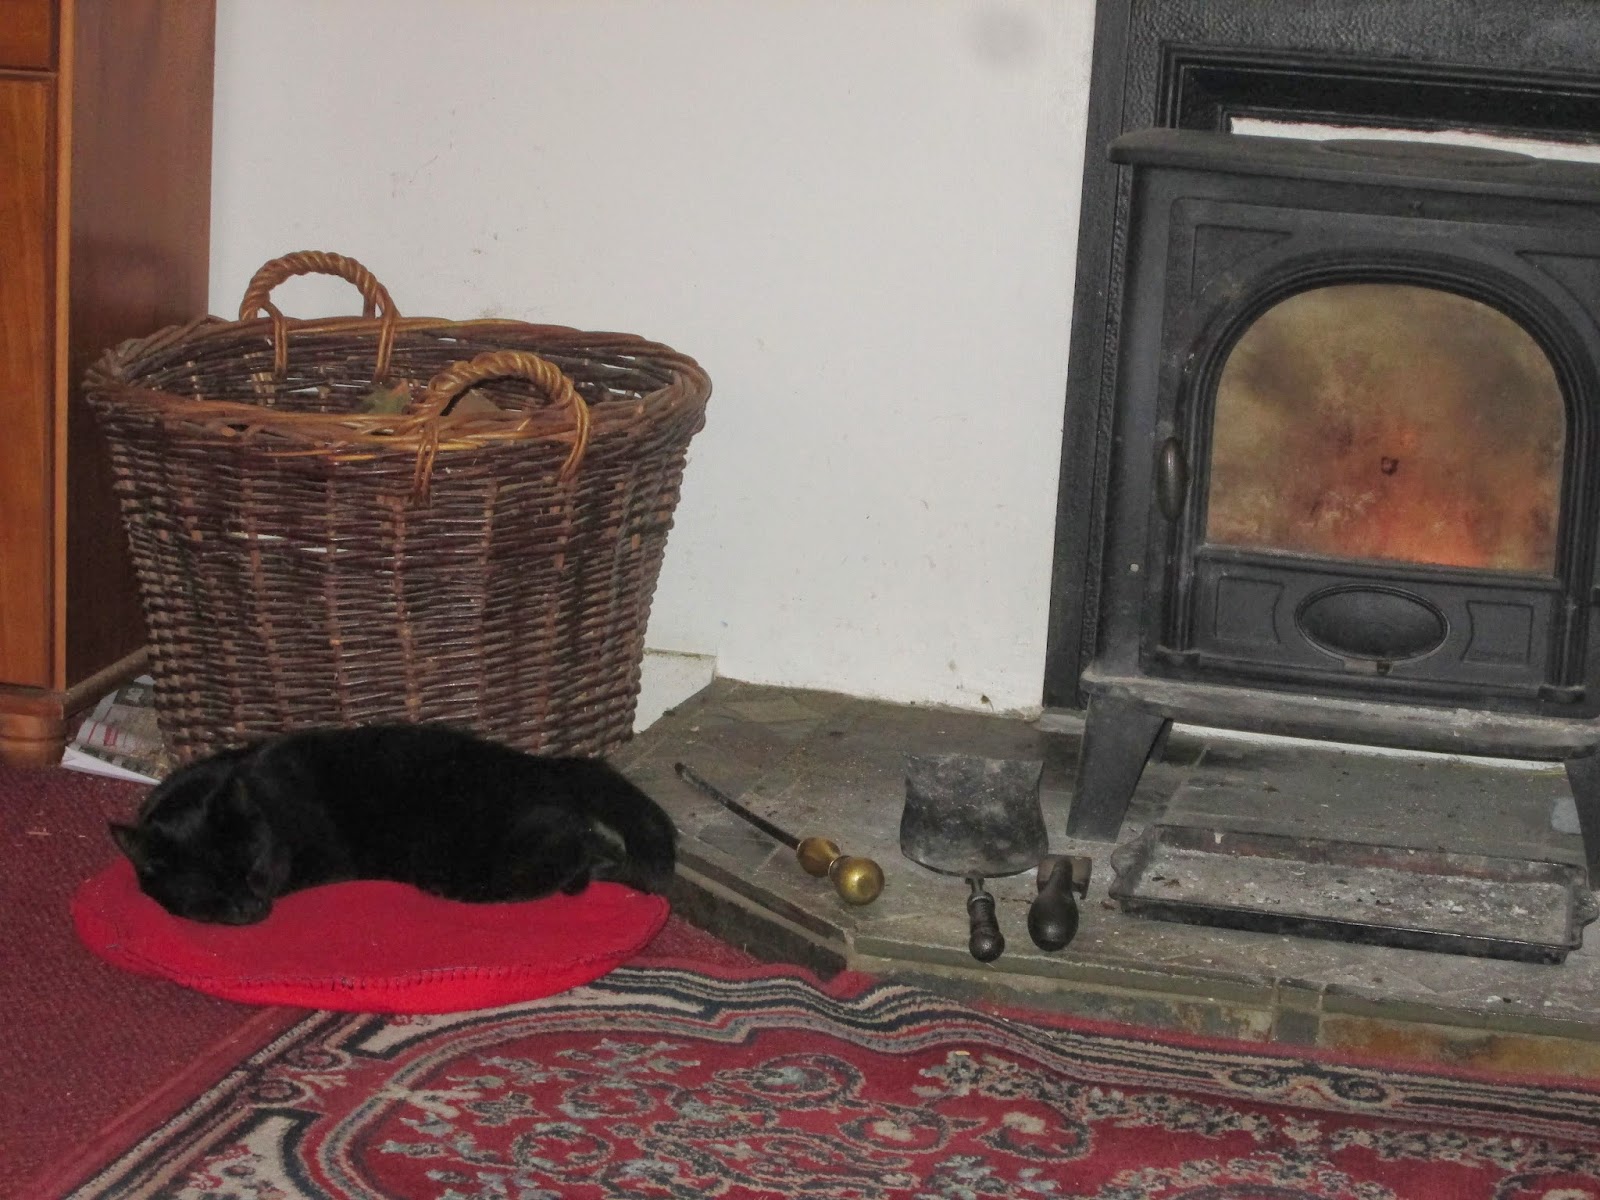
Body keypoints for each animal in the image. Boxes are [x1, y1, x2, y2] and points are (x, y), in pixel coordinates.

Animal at [109, 723, 677, 925]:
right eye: (209, 887)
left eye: (251, 867)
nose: (250, 907)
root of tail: (547, 763)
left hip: (478, 854)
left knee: (571, 849)